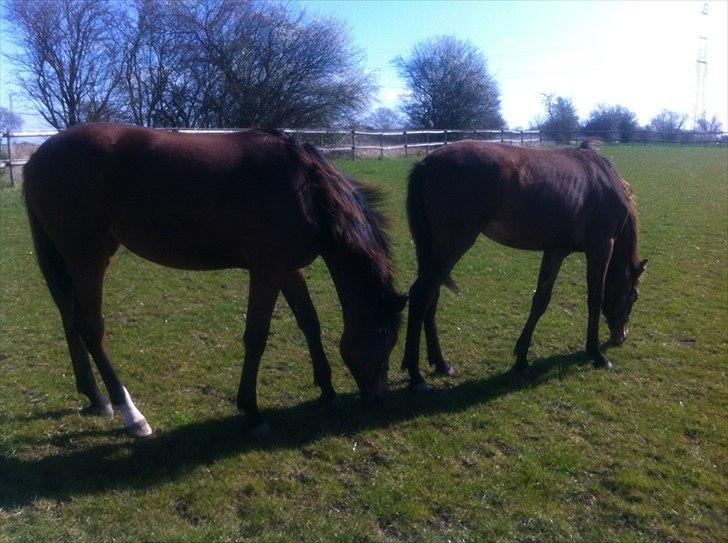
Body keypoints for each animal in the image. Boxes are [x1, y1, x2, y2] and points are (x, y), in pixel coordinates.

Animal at [22, 121, 406, 436]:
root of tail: (37, 159)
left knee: (70, 319)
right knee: (90, 328)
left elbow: (309, 322)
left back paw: (95, 397)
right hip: (88, 259)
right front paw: (252, 411)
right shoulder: (266, 270)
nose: (378, 398)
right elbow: (256, 336)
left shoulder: (288, 268)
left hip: (72, 261)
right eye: (383, 335)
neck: (304, 188)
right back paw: (131, 415)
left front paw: (327, 391)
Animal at [404, 138, 648, 388]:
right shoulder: (600, 248)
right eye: (633, 297)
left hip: (433, 251)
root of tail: (426, 163)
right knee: (420, 295)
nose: (621, 336)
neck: (604, 181)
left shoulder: (556, 250)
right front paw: (596, 354)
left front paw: (521, 358)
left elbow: (540, 300)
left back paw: (441, 363)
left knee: (431, 296)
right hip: (452, 245)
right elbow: (594, 300)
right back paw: (415, 375)